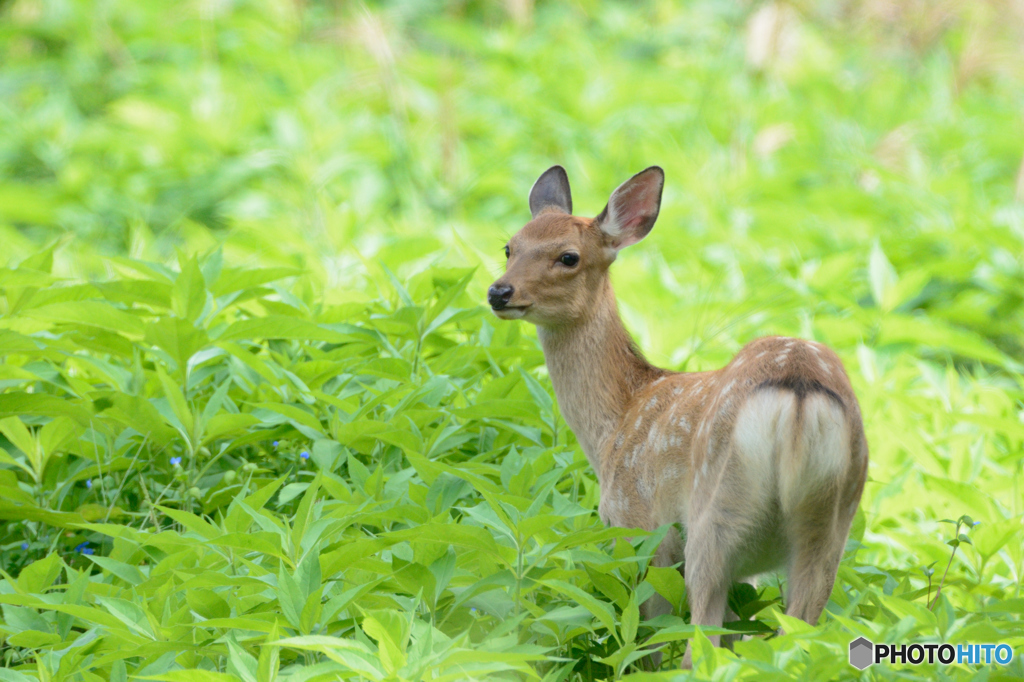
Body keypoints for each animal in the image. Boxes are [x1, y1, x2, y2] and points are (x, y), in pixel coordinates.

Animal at [485, 165, 864, 667]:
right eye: (510, 246)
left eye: (568, 257)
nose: (499, 291)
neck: (616, 420)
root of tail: (799, 393)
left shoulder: (636, 523)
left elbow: (646, 635)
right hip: (831, 525)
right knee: (798, 638)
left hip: (714, 516)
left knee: (700, 643)